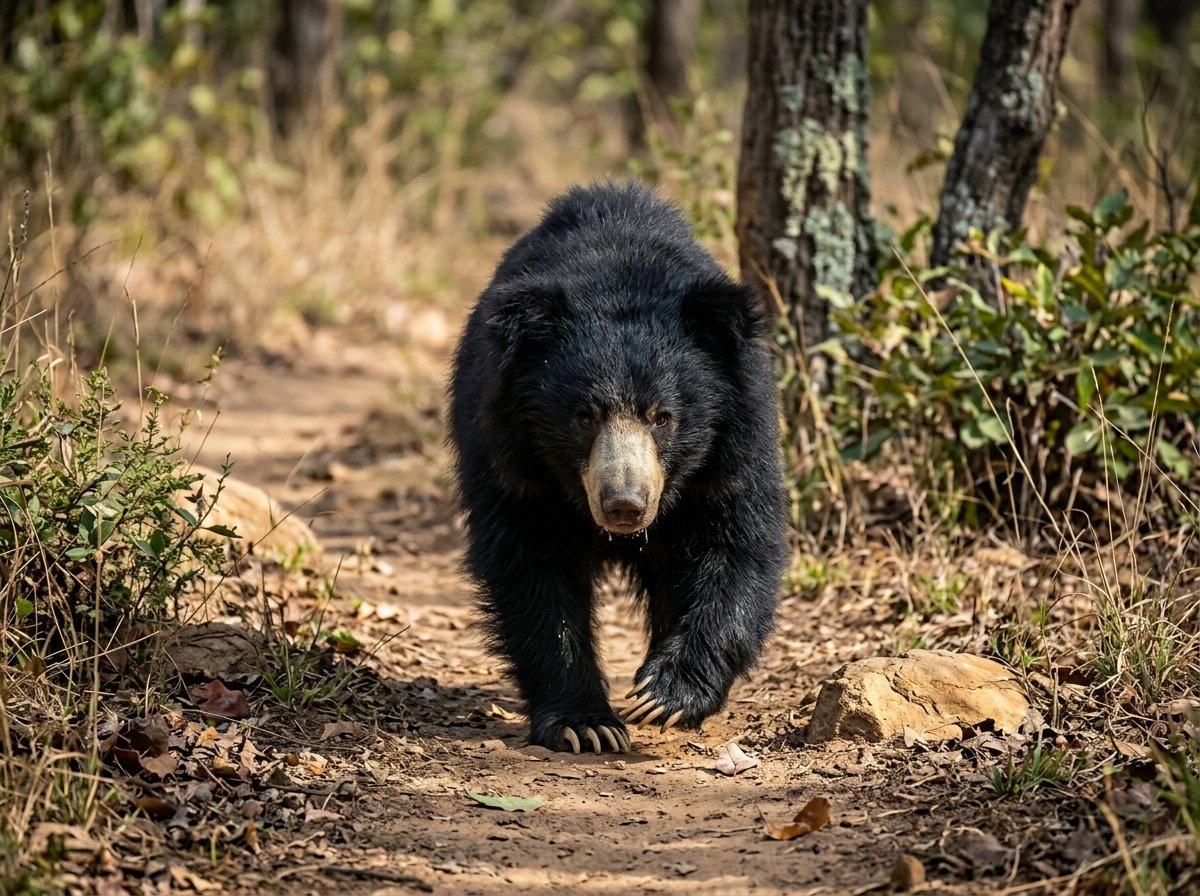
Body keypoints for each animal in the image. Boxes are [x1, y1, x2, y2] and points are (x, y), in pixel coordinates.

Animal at [448, 183, 787, 754]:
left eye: (663, 417)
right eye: (584, 416)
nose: (624, 505)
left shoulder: (734, 449)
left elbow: (737, 546)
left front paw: (663, 697)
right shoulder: (511, 462)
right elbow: (531, 567)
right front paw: (587, 724)